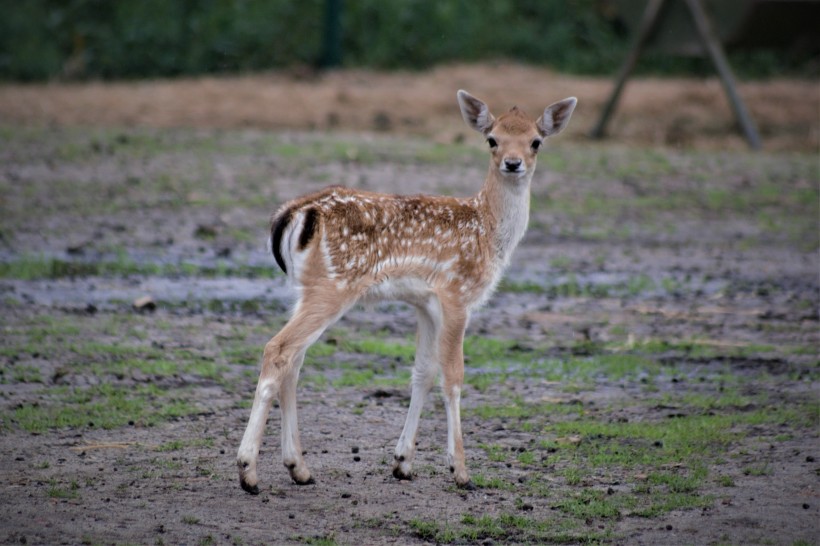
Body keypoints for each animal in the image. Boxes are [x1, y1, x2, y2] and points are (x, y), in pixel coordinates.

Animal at [237, 90, 576, 492]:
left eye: (536, 141)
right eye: (492, 139)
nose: (513, 163)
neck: (488, 231)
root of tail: (293, 213)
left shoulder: (424, 303)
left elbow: (423, 372)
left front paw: (403, 463)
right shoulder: (456, 293)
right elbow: (453, 376)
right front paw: (461, 470)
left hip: (305, 288)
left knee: (295, 360)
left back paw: (299, 468)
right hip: (332, 286)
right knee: (278, 349)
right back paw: (248, 471)